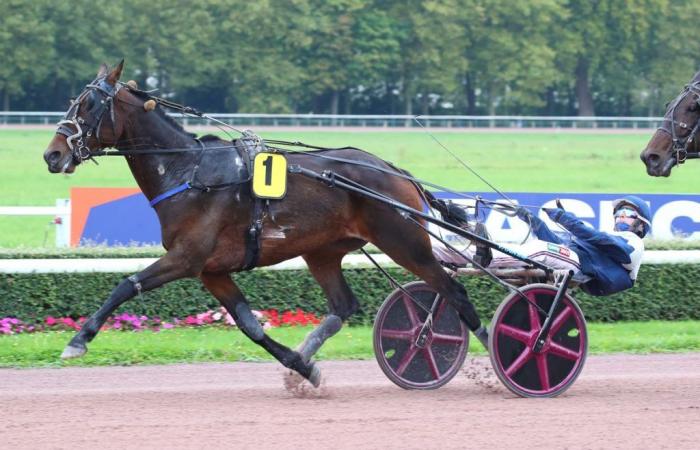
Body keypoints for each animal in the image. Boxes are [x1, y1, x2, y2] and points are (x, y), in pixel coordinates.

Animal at [39, 61, 486, 386]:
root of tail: (396, 171)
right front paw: (302, 367)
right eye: (74, 100)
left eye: (88, 105)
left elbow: (124, 285)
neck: (188, 171)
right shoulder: (212, 270)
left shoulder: (186, 258)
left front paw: (78, 340)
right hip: (322, 251)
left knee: (454, 291)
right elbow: (249, 324)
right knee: (345, 305)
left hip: (404, 241)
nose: (52, 155)